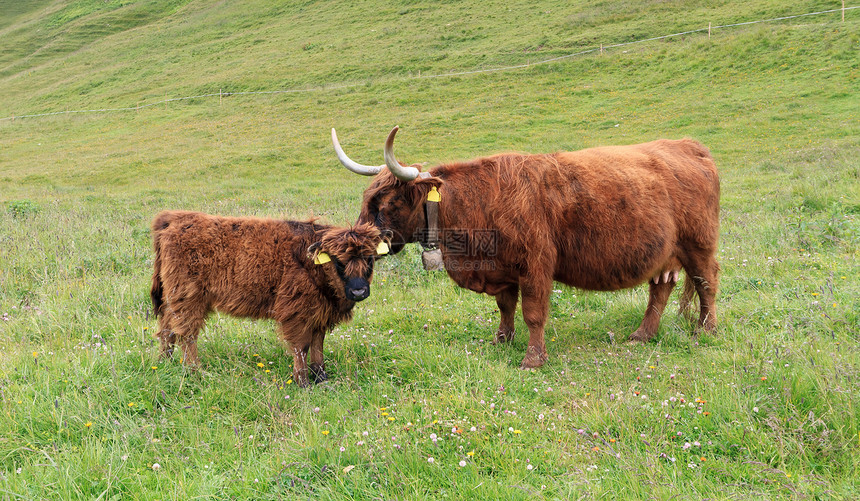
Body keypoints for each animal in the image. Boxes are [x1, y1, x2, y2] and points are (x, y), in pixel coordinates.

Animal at [150, 209, 386, 384]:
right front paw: (303, 382)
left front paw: (321, 377)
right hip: (188, 298)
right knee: (186, 334)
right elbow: (302, 346)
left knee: (167, 329)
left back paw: (164, 362)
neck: (312, 264)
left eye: (370, 259)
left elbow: (318, 344)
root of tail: (175, 218)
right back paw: (194, 371)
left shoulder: (320, 313)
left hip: (174, 298)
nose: (359, 291)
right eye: (339, 262)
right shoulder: (297, 312)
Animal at [332, 127, 724, 370]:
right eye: (368, 197)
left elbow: (534, 312)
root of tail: (687, 145)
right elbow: (506, 307)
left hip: (699, 245)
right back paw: (643, 335)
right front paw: (502, 340)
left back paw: (705, 330)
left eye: (387, 203)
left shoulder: (536, 265)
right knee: (661, 289)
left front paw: (533, 359)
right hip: (665, 253)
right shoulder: (502, 270)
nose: (358, 241)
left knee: (707, 283)